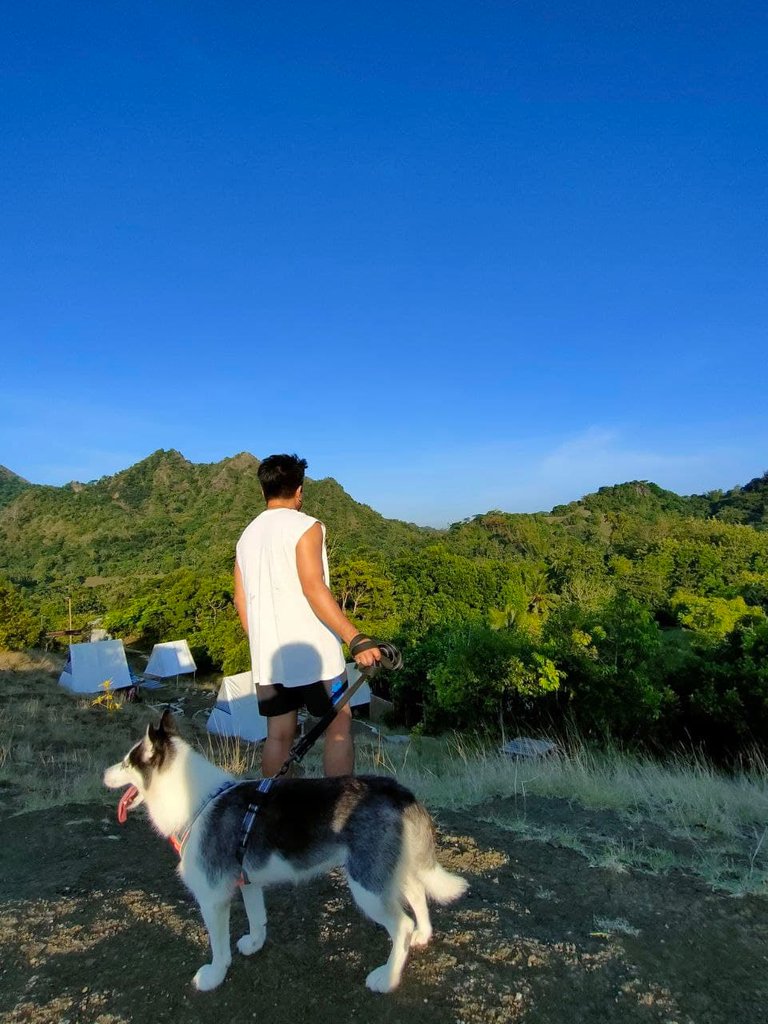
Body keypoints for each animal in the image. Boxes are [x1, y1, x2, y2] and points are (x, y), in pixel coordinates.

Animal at [104, 712, 466, 991]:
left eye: (127, 761)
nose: (104, 773)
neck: (199, 800)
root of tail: (399, 791)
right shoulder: (248, 883)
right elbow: (257, 919)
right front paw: (255, 943)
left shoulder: (212, 898)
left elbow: (218, 947)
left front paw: (215, 975)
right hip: (387, 871)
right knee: (417, 893)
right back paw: (422, 935)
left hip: (368, 885)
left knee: (400, 925)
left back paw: (388, 978)